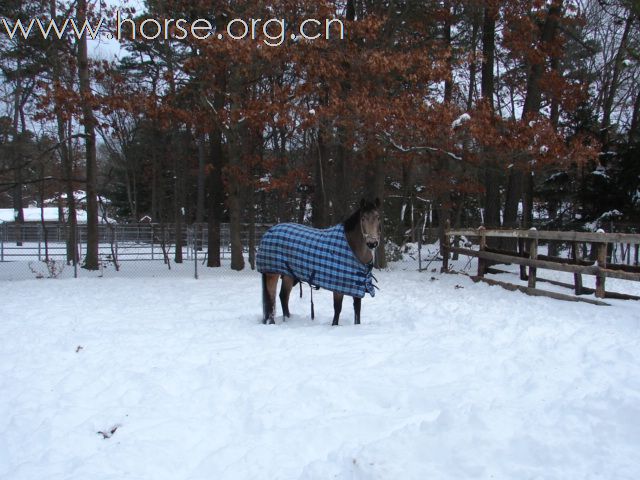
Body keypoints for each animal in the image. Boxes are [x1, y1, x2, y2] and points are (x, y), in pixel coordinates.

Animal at [258, 198, 382, 326]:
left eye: (378, 217)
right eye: (363, 218)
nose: (372, 243)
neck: (352, 248)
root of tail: (269, 231)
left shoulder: (357, 286)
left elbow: (357, 310)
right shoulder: (338, 287)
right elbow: (337, 309)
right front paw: (334, 326)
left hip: (288, 275)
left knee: (283, 296)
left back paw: (288, 319)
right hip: (272, 274)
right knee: (271, 298)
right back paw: (272, 322)